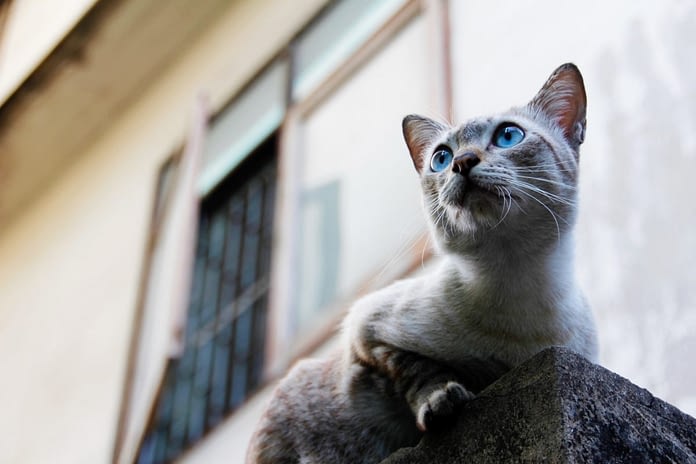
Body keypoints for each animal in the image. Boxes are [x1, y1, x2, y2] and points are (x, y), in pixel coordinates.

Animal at [245, 62, 600, 464]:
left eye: (509, 135)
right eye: (441, 157)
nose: (462, 162)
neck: (515, 281)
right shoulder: (369, 334)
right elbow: (420, 371)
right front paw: (442, 401)